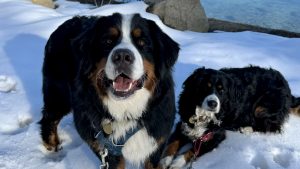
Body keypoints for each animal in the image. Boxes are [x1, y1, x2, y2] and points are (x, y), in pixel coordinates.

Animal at [39, 13, 179, 169]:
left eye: (142, 42)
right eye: (107, 41)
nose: (122, 56)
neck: (126, 112)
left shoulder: (156, 143)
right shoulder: (106, 149)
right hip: (59, 94)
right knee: (49, 118)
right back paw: (53, 147)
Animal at [162, 66, 300, 169]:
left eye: (221, 90)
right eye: (205, 86)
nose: (213, 103)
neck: (203, 115)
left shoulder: (215, 136)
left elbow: (191, 151)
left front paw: (177, 162)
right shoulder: (183, 125)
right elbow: (171, 145)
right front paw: (165, 161)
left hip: (262, 106)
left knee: (271, 127)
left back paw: (246, 129)